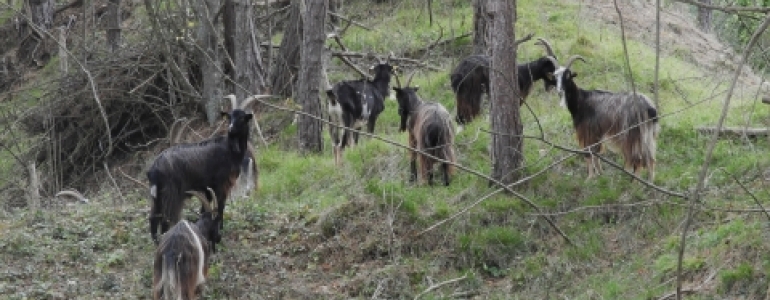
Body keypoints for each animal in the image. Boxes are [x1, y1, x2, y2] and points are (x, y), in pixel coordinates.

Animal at [146, 94, 268, 251]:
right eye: (229, 117)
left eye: (241, 118)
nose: (230, 129)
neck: (229, 148)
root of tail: (154, 169)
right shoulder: (221, 186)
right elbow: (220, 208)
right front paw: (219, 231)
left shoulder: (207, 190)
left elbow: (204, 210)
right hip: (172, 194)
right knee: (166, 219)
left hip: (157, 196)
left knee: (153, 217)